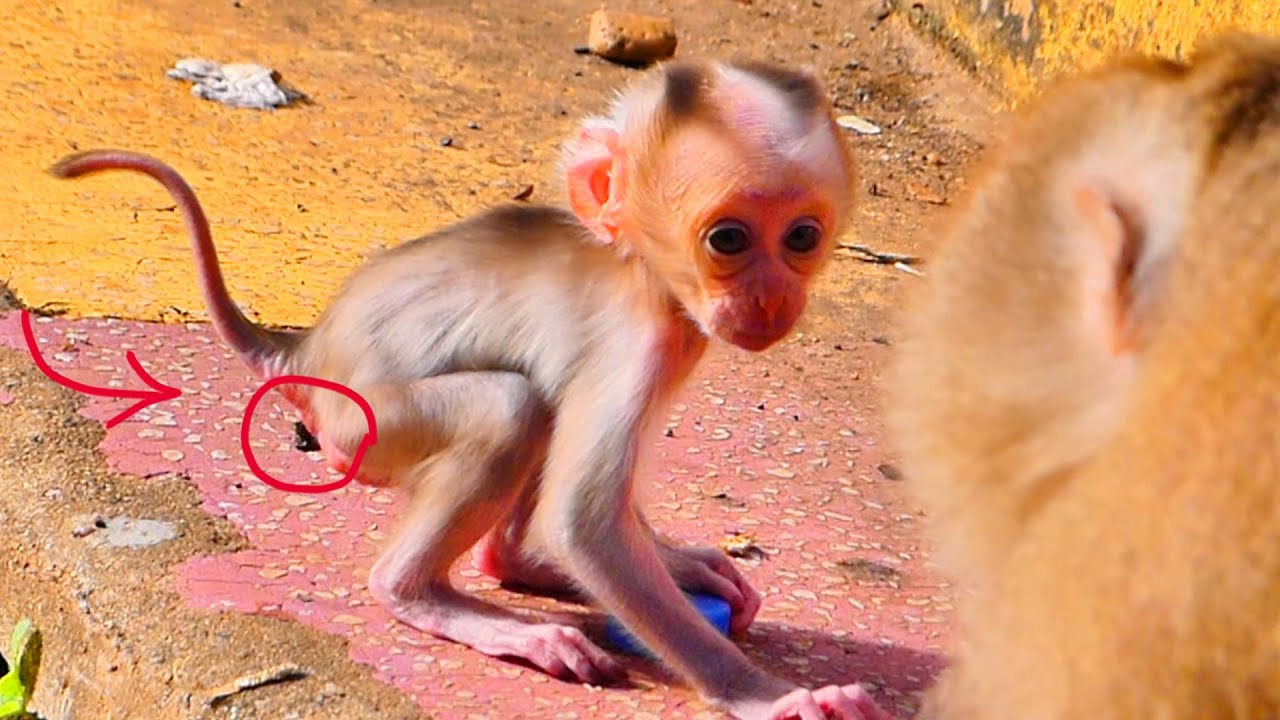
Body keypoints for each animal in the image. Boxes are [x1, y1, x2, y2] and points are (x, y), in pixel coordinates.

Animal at [52, 58, 891, 720]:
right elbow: (588, 524)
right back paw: (430, 597)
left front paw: (684, 564)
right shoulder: (632, 342)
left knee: (541, 416)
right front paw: (766, 694)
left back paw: (520, 567)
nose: (771, 301)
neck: (647, 276)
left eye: (803, 238)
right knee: (513, 408)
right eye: (728, 239)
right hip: (362, 430)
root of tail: (305, 350)